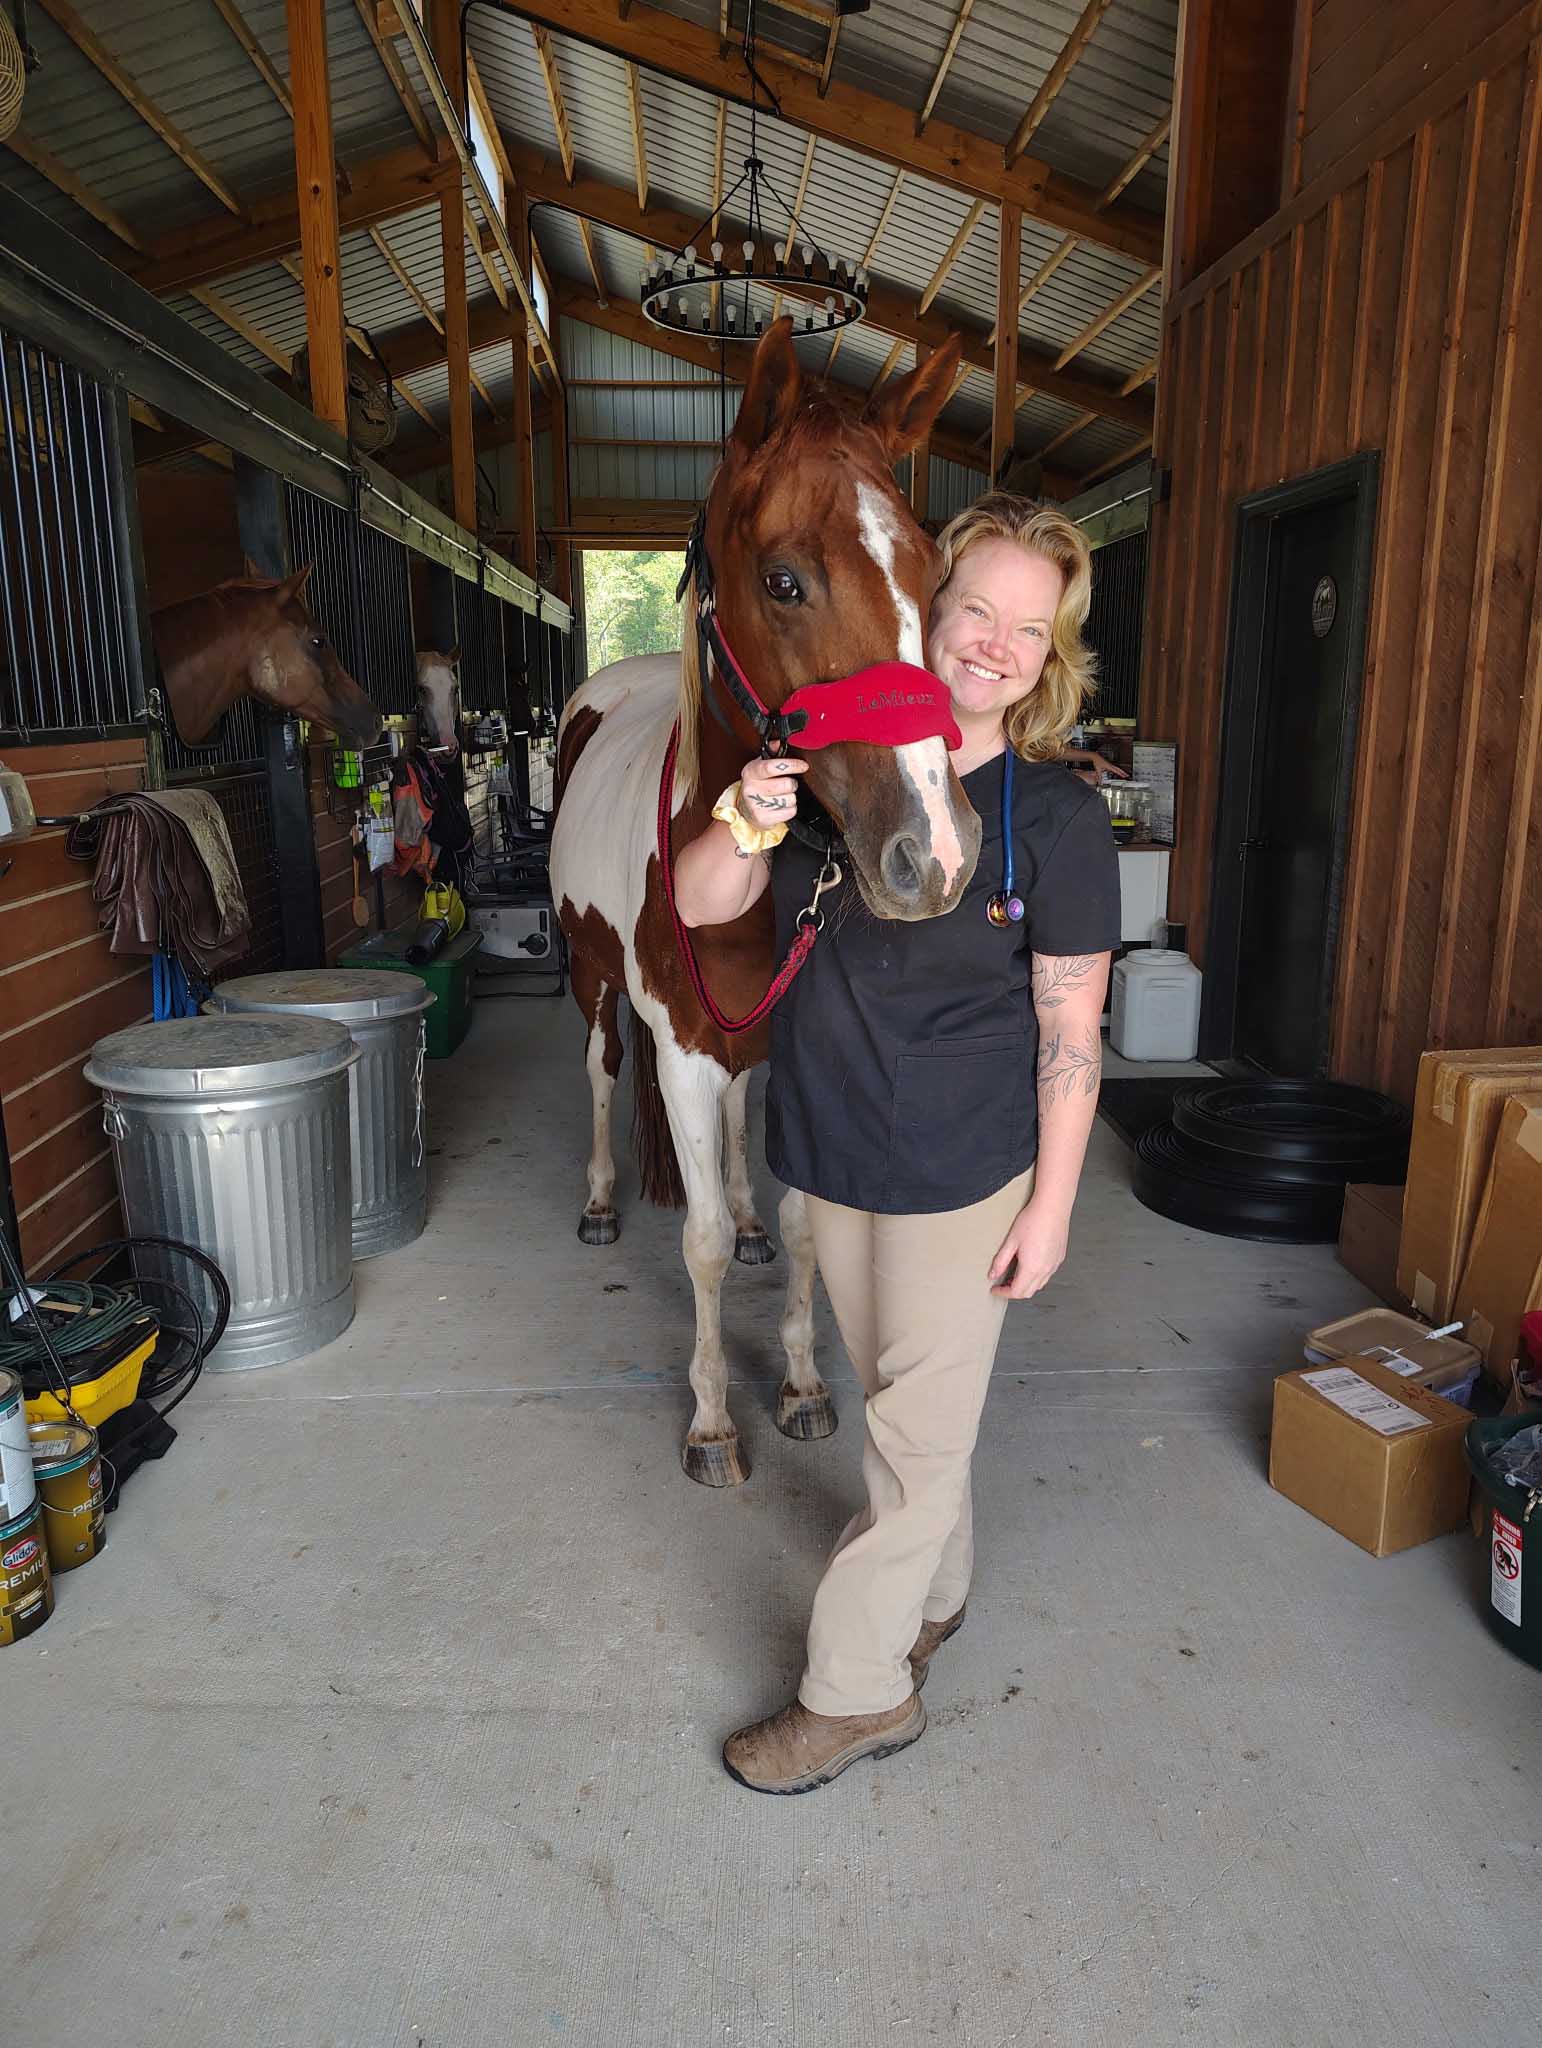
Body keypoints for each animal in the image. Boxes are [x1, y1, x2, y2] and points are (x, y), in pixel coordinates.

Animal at [551, 318, 978, 1488]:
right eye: (784, 580)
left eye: (934, 576)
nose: (935, 853)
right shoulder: (683, 1047)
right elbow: (693, 1243)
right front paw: (711, 1419)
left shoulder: (790, 1044)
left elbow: (803, 1225)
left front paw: (798, 1382)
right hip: (594, 982)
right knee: (599, 1072)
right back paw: (598, 1199)